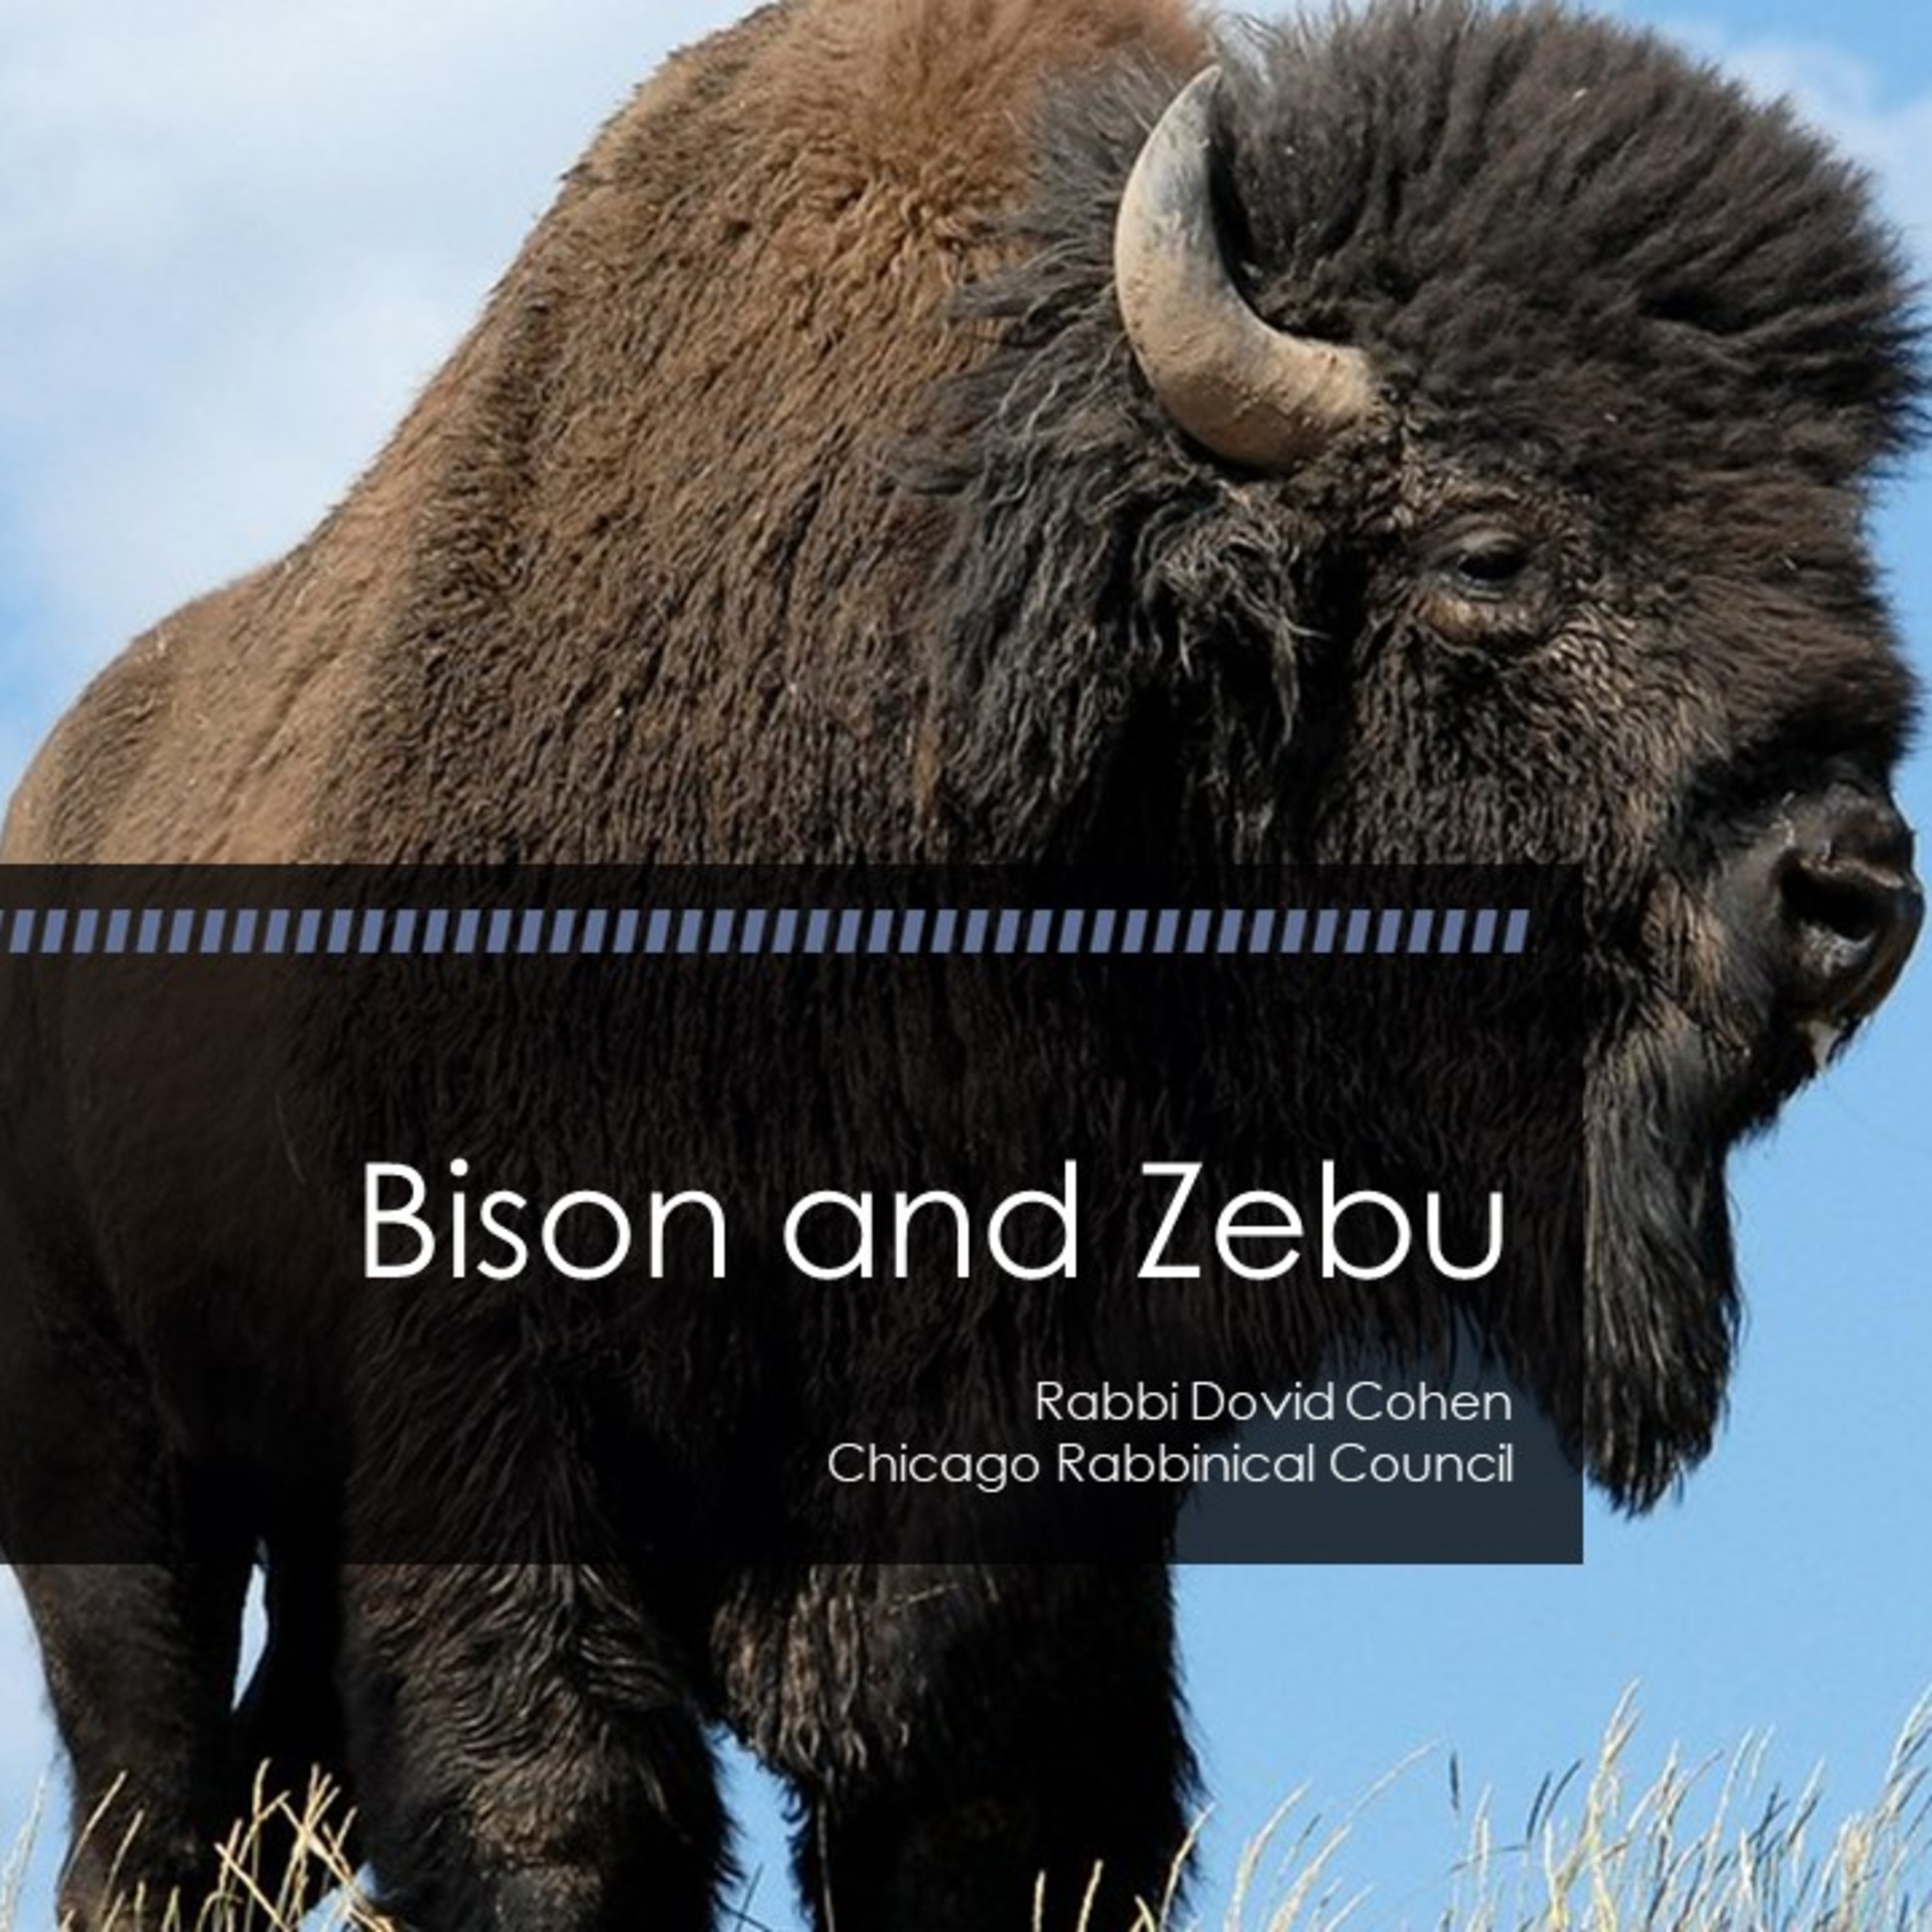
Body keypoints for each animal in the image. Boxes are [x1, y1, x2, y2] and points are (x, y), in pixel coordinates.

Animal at [0, 0, 1923, 1928]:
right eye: (1487, 552)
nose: (1848, 890)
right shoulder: (491, 1398)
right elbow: (556, 1801)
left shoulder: (1045, 1488)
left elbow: (999, 1810)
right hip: (118, 1469)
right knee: (156, 1788)